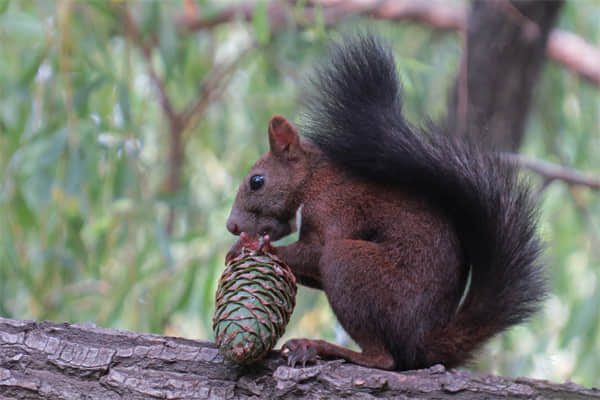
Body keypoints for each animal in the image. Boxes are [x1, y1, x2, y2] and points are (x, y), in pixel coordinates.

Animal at [224, 36, 544, 370]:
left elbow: (313, 252)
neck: (314, 181)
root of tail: (422, 342)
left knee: (382, 358)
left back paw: (319, 347)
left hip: (352, 265)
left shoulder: (336, 209)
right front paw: (236, 249)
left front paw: (255, 245)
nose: (231, 225)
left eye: (257, 181)